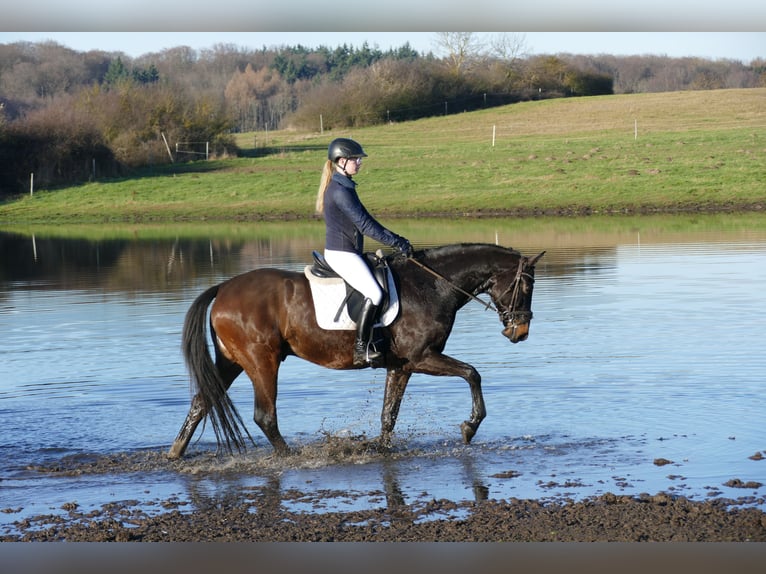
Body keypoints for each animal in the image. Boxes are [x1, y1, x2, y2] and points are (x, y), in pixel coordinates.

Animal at [168, 243, 545, 459]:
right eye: (526, 286)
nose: (521, 332)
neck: (432, 284)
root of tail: (222, 288)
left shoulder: (402, 366)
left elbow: (389, 414)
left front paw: (383, 449)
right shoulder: (422, 357)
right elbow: (472, 373)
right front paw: (470, 426)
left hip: (232, 361)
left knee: (201, 402)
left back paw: (175, 453)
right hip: (262, 361)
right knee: (264, 415)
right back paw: (291, 456)